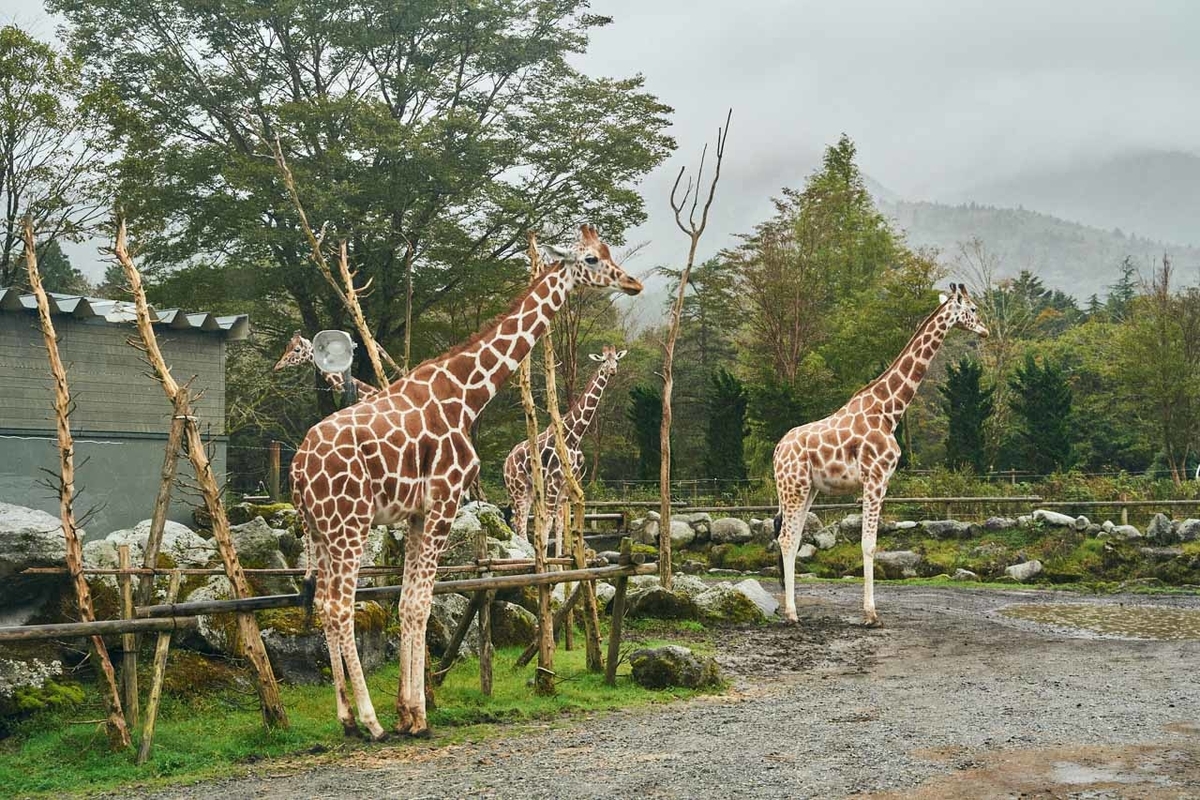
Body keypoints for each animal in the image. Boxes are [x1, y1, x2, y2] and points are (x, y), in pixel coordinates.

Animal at [501, 345, 628, 544]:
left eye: (616, 359)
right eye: (603, 360)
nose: (613, 371)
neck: (573, 436)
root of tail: (506, 463)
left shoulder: (566, 486)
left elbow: (560, 525)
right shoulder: (554, 482)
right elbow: (547, 523)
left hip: (529, 489)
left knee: (519, 521)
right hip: (517, 488)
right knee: (519, 522)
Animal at [772, 284, 988, 628]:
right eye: (974, 309)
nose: (985, 331)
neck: (889, 410)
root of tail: (778, 449)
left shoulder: (878, 481)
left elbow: (869, 543)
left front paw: (870, 612)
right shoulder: (876, 478)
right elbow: (869, 544)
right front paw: (871, 615)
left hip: (807, 489)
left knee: (790, 539)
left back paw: (794, 611)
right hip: (793, 486)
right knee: (786, 538)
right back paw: (792, 614)